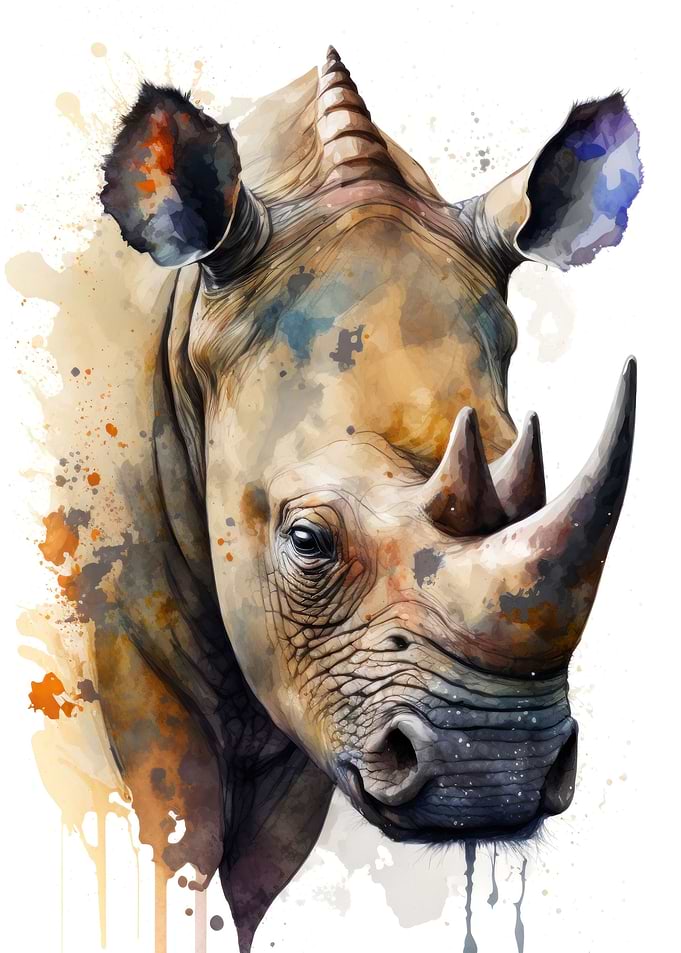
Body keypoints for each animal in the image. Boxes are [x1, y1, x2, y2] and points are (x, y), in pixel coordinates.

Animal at [97, 47, 641, 950]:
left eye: (533, 488)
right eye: (306, 540)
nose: (491, 772)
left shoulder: (303, 689)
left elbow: (257, 874)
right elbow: (178, 837)